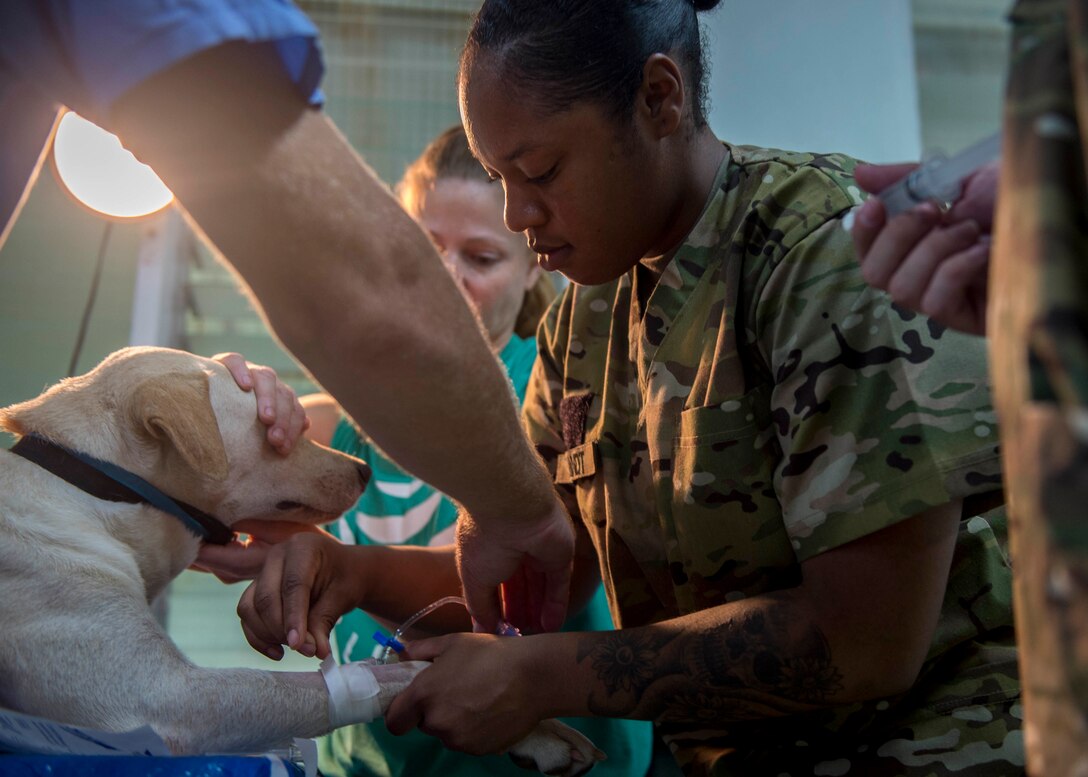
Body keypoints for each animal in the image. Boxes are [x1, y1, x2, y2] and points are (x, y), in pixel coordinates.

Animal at [0, 348, 600, 770]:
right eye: (276, 432)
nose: (364, 469)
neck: (94, 488)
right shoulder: (163, 701)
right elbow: (343, 682)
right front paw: (535, 725)